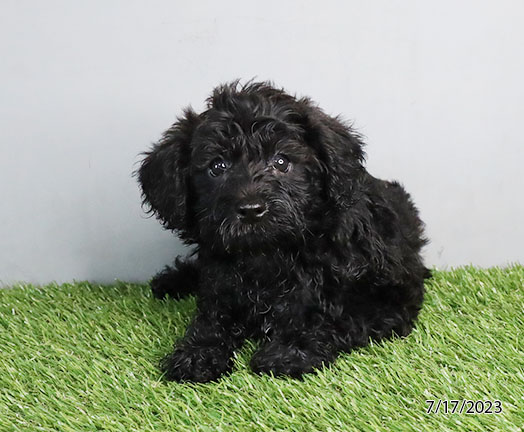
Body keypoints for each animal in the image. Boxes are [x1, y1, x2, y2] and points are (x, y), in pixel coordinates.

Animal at [138, 81, 430, 382]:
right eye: (217, 167)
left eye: (281, 162)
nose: (251, 209)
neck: (270, 251)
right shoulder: (219, 282)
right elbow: (212, 318)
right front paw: (198, 352)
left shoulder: (392, 298)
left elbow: (340, 316)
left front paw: (292, 350)